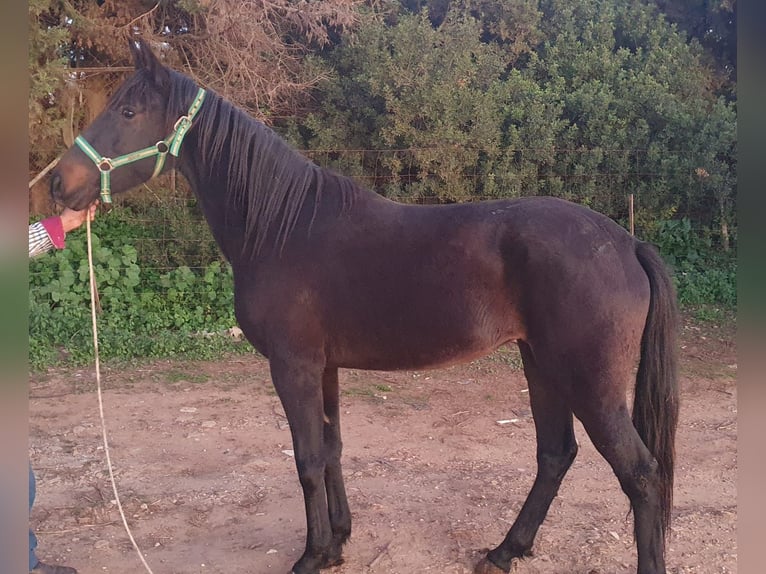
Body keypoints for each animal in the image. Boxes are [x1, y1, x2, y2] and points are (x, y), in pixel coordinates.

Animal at [51, 40, 680, 574]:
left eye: (129, 111)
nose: (58, 184)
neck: (282, 227)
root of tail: (625, 242)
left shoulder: (293, 366)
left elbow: (306, 458)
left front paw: (312, 556)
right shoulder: (324, 367)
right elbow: (331, 449)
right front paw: (338, 541)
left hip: (588, 380)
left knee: (641, 474)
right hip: (541, 365)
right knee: (555, 454)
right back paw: (504, 552)